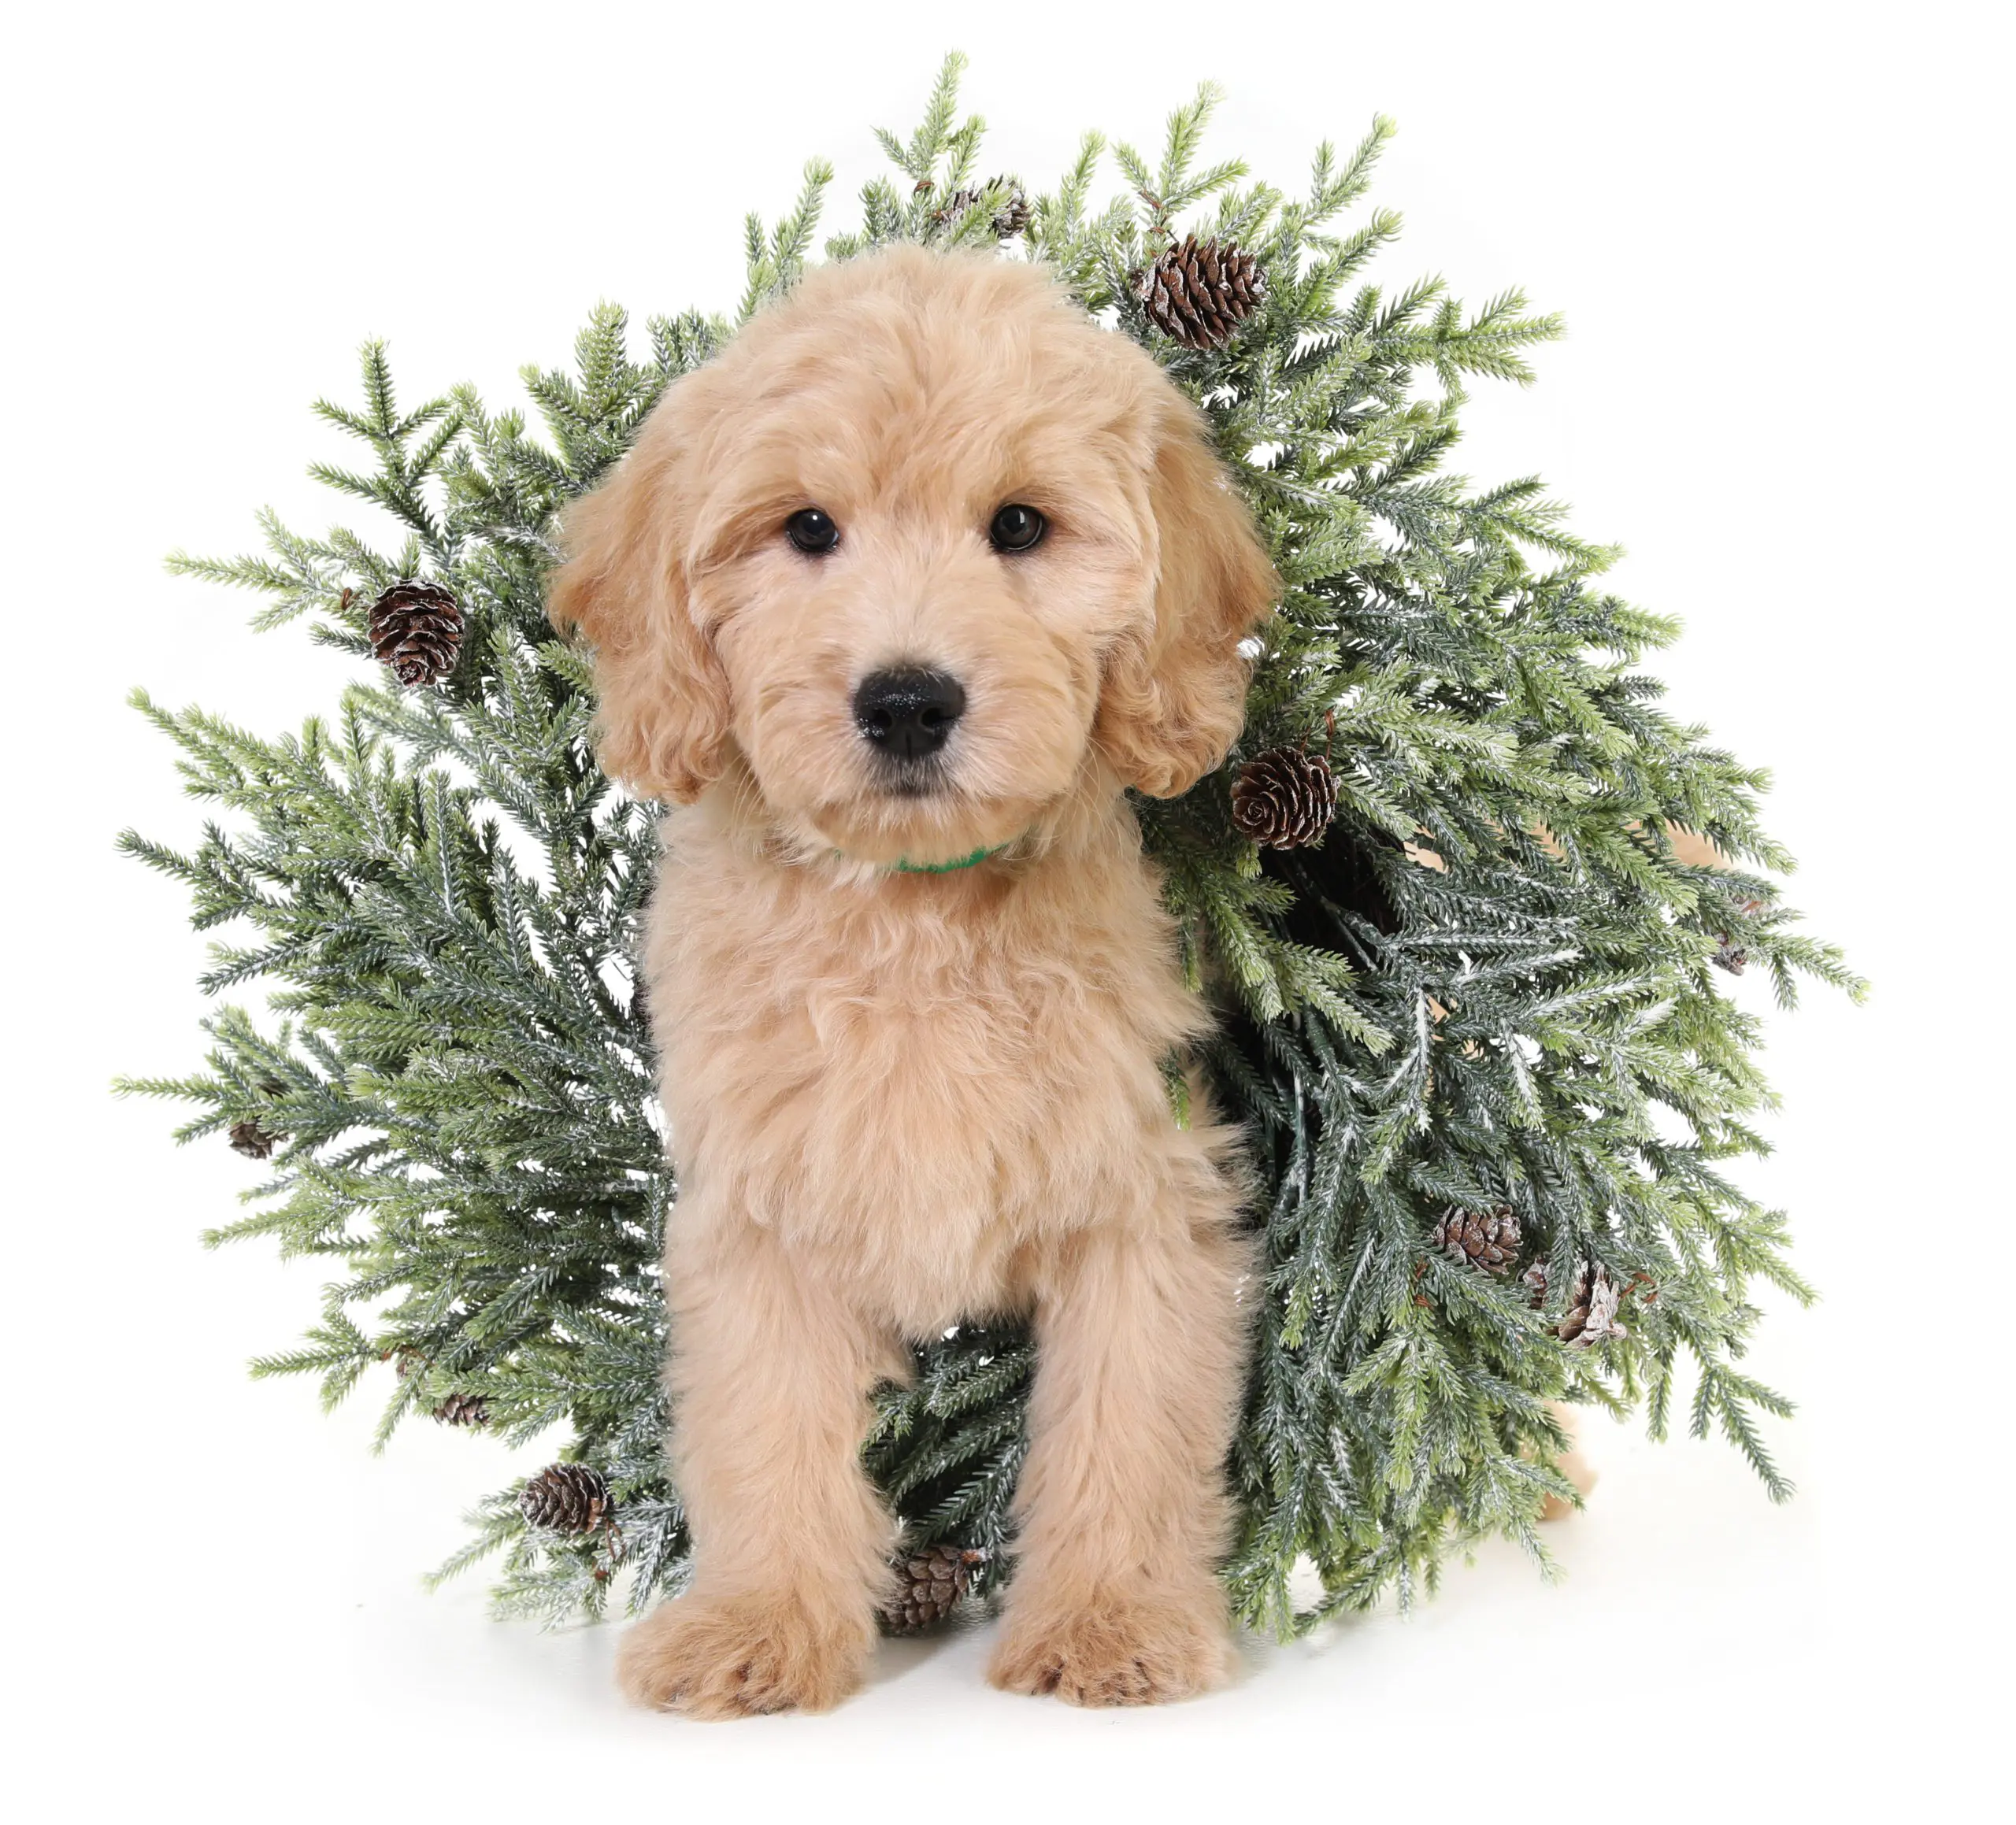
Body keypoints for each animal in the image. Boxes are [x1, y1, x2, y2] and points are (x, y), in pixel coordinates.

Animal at [552, 242, 1273, 1710]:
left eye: (1020, 526)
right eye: (808, 530)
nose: (906, 701)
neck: (914, 907)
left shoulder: (1144, 1191)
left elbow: (1127, 1421)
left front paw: (1109, 1620)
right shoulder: (758, 1212)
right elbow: (764, 1426)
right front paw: (759, 1620)